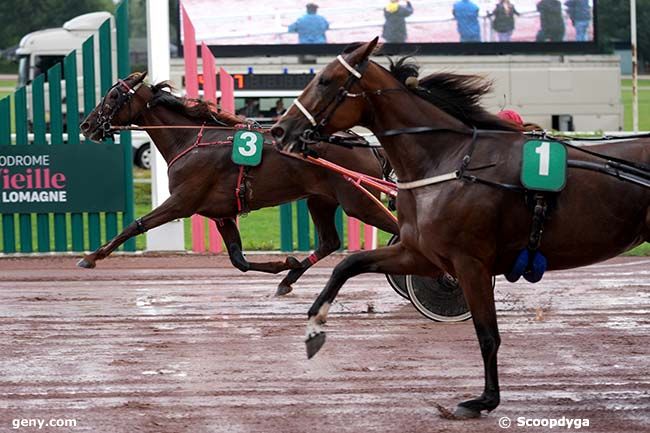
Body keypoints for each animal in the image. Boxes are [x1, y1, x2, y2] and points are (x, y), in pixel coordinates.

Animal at [78, 71, 398, 294]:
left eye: (113, 96)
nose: (86, 125)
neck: (190, 140)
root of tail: (365, 144)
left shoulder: (182, 202)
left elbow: (136, 224)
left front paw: (92, 257)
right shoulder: (221, 213)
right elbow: (238, 260)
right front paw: (286, 264)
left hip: (357, 200)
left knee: (397, 230)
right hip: (320, 200)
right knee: (330, 241)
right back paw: (289, 279)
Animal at [270, 38, 648, 416]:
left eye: (325, 81)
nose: (279, 130)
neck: (450, 162)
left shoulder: (470, 264)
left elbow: (487, 334)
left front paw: (485, 399)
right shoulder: (420, 254)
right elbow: (348, 265)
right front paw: (314, 327)